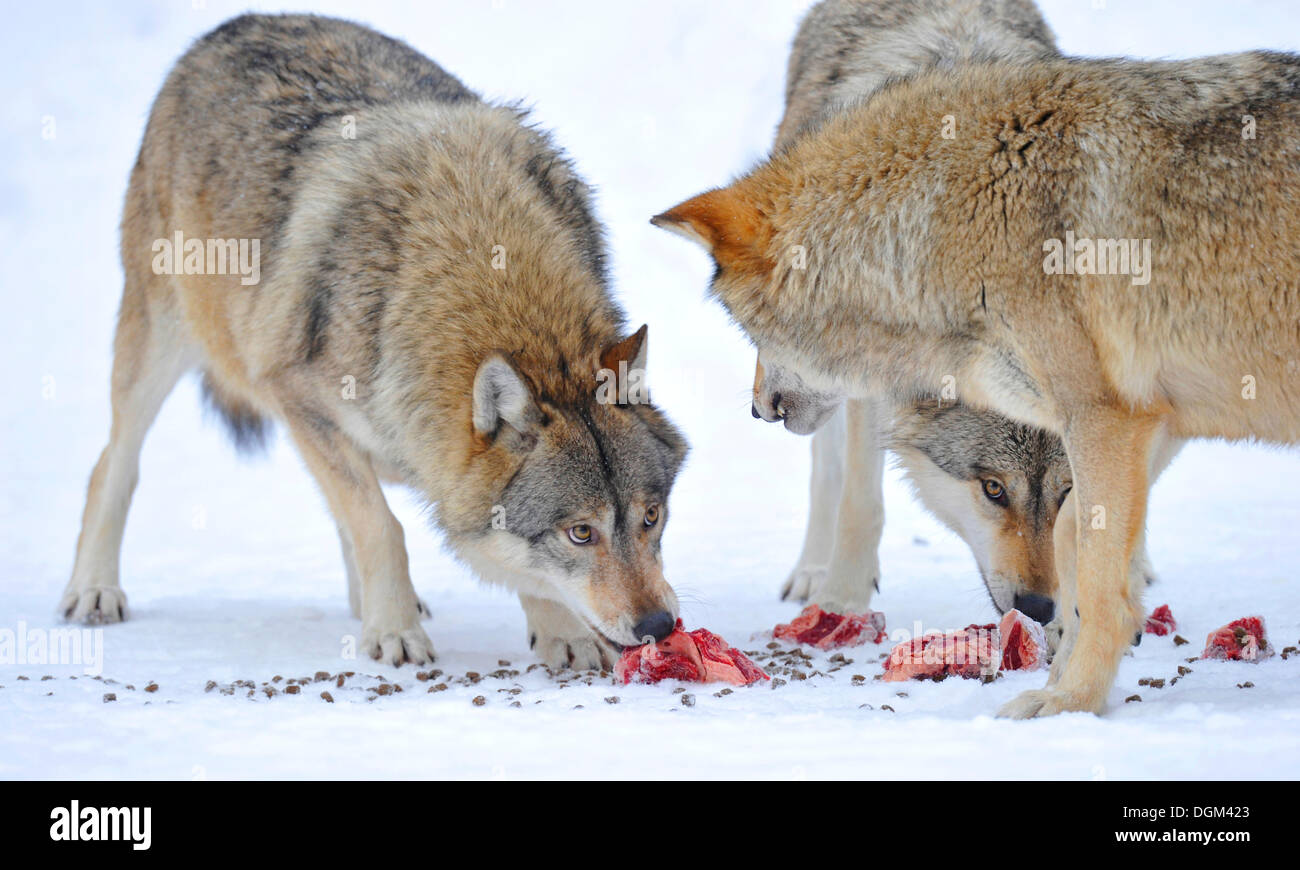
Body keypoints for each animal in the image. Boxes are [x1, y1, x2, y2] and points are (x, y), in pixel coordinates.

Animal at [62, 14, 687, 669]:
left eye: (651, 517)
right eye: (580, 532)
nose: (660, 625)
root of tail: (234, 23)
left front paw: (560, 635)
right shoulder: (296, 399)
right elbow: (382, 528)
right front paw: (394, 632)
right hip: (158, 346)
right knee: (114, 464)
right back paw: (94, 591)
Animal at [654, 42, 1300, 716]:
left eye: (749, 333)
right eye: (993, 491)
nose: (760, 407)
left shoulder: (1107, 419)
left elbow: (1099, 585)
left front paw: (1071, 702)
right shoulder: (1122, 427)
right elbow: (1072, 549)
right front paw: (1061, 669)